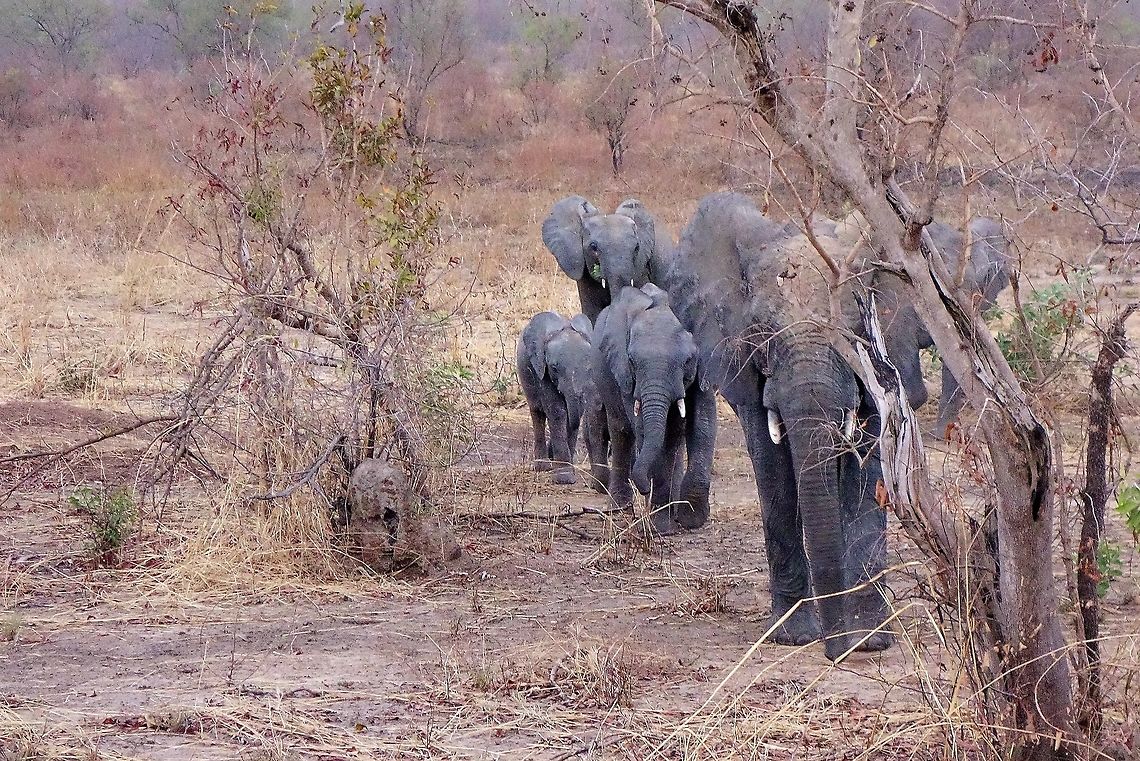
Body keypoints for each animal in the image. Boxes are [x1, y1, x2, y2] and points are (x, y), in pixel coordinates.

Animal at [516, 311, 608, 490]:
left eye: (588, 367)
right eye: (554, 368)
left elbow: (574, 414)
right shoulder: (542, 370)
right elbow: (557, 411)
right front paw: (564, 479)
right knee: (537, 413)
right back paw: (543, 466)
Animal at [592, 283, 717, 536]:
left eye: (688, 360)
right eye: (632, 361)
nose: (644, 490)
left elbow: (702, 425)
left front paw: (690, 517)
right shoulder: (627, 375)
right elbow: (648, 433)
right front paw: (662, 527)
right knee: (621, 431)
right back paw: (619, 506)